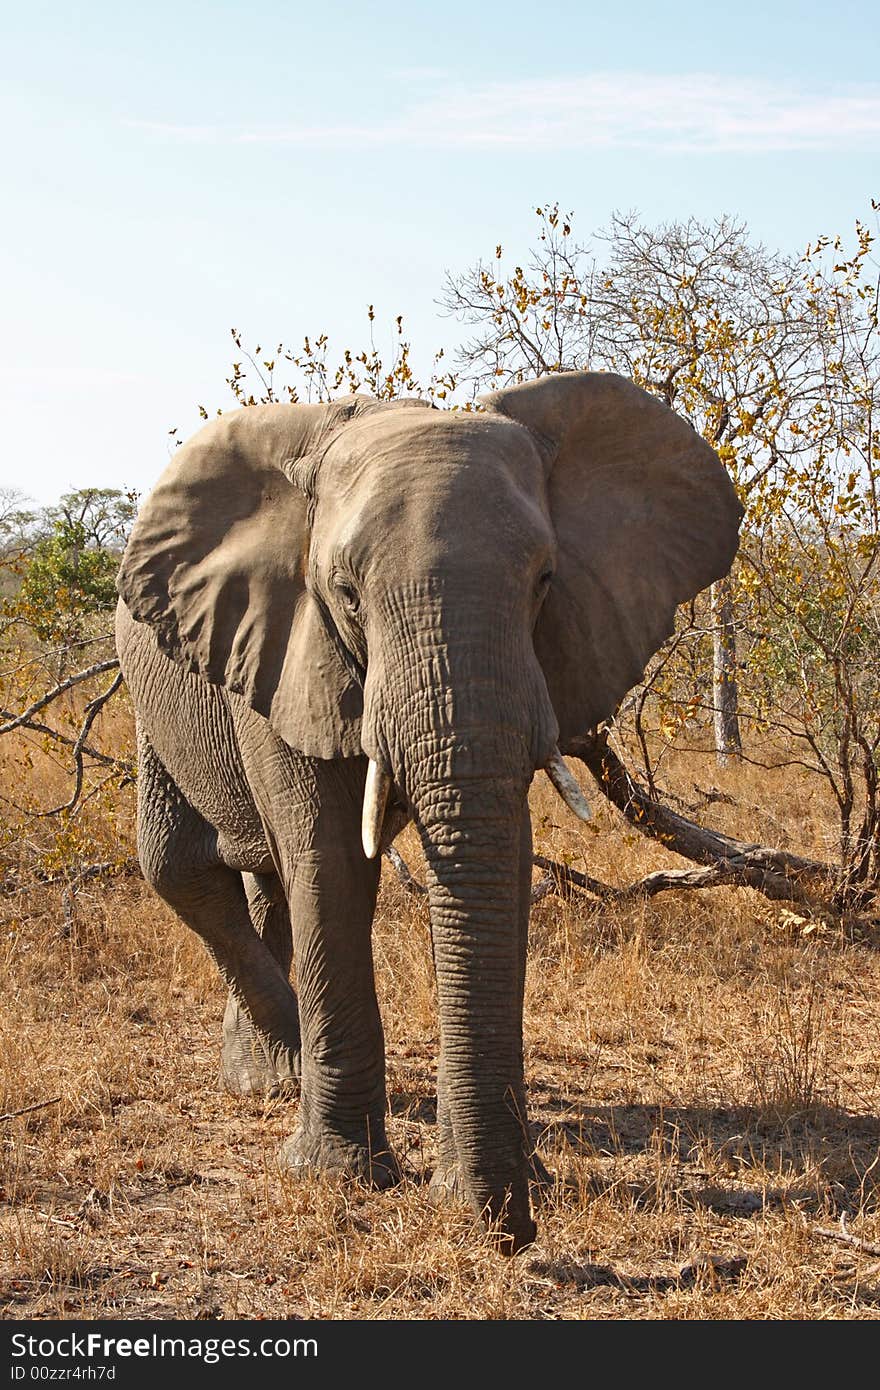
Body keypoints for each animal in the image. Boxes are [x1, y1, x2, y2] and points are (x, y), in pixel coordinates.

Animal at [113, 366, 739, 1251]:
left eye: (545, 580)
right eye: (345, 591)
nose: (509, 1232)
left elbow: (496, 856)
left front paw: (497, 1178)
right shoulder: (286, 645)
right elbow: (329, 862)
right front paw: (336, 1176)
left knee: (259, 876)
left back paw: (269, 1075)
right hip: (155, 684)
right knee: (184, 866)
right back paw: (282, 1067)